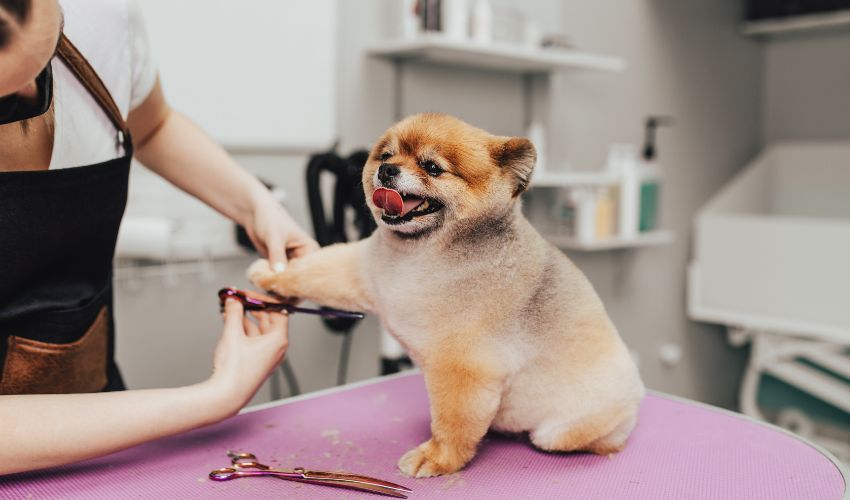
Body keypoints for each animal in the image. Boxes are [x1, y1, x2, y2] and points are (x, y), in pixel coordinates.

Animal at [250, 113, 644, 476]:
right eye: (386, 155)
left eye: (432, 168)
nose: (388, 170)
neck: (419, 256)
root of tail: (635, 390)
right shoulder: (361, 270)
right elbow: (315, 270)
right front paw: (272, 274)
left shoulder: (463, 367)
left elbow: (453, 423)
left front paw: (438, 458)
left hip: (563, 430)